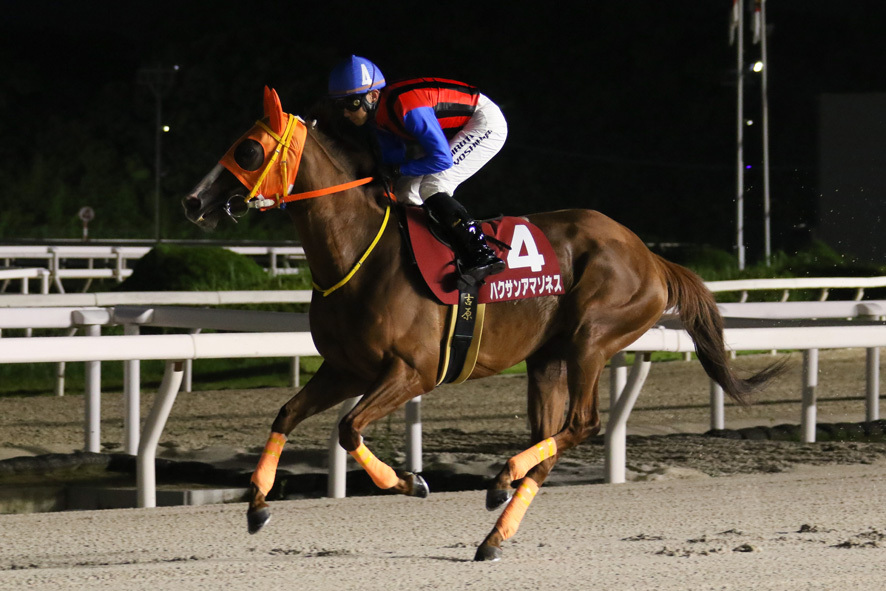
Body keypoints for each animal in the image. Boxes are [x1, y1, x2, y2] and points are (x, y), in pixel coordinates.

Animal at [186, 86, 776, 560]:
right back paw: (496, 526)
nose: (194, 202)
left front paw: (410, 481)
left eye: (247, 149)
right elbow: (287, 414)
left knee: (583, 423)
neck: (358, 251)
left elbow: (348, 427)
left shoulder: (413, 371)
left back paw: (502, 480)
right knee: (550, 440)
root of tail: (650, 256)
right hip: (546, 360)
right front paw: (257, 504)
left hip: (592, 336)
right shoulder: (345, 368)